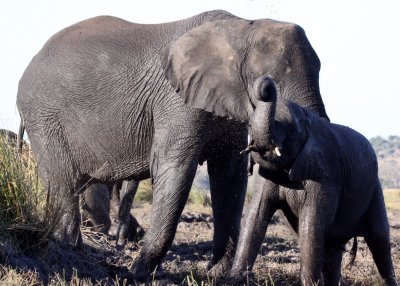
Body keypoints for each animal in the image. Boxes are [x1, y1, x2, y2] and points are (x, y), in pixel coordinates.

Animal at [15, 10, 328, 278]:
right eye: (270, 82)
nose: (264, 89)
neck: (241, 29)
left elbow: (230, 176)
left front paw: (216, 275)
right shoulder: (176, 101)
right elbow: (176, 166)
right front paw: (138, 272)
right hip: (44, 118)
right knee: (63, 181)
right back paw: (69, 252)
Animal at [231, 77, 396, 286]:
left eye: (291, 130)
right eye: (250, 127)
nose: (267, 82)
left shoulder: (326, 170)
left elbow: (311, 223)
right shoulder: (267, 175)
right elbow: (255, 216)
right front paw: (232, 280)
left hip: (375, 188)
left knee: (379, 237)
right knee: (332, 248)